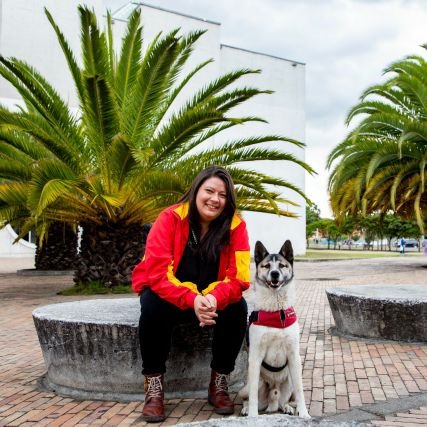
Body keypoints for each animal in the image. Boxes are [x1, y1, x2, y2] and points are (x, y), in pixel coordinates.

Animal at [239, 242, 310, 420]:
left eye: (282, 266)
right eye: (266, 266)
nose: (275, 274)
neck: (277, 312)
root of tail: (273, 399)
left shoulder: (294, 356)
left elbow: (300, 391)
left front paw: (304, 413)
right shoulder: (255, 356)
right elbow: (253, 397)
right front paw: (252, 416)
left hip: (289, 379)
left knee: (285, 400)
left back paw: (287, 407)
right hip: (251, 383)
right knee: (247, 397)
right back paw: (246, 409)